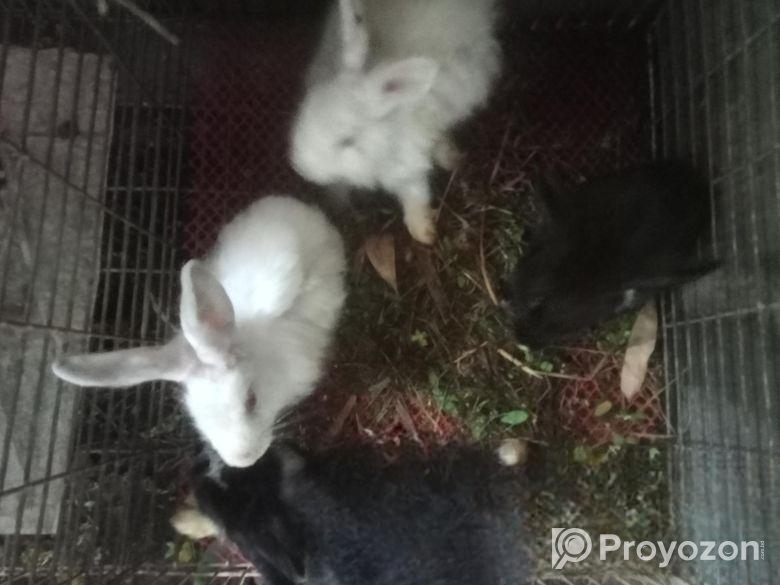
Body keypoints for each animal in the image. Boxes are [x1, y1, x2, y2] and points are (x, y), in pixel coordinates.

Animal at [290, 0, 503, 244]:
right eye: (306, 111)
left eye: (347, 141)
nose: (301, 167)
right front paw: (338, 206)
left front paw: (423, 233)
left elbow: (416, 196)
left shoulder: (407, 164)